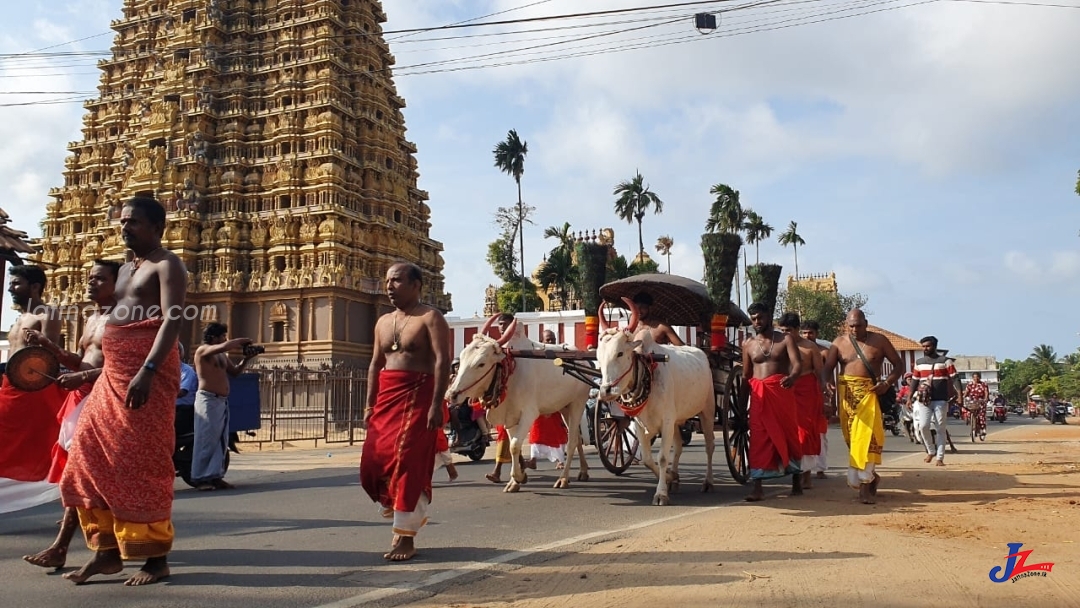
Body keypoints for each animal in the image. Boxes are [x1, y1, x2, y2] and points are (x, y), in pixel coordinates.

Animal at [444, 313, 591, 494]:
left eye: (481, 363)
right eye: (462, 357)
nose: (451, 394)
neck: (509, 373)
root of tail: (583, 360)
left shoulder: (529, 414)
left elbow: (514, 445)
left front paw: (519, 477)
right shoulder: (510, 417)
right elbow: (513, 446)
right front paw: (515, 481)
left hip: (578, 402)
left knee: (571, 442)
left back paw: (563, 478)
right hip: (565, 407)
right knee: (576, 437)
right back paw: (583, 471)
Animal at [591, 298, 717, 507]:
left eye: (619, 353)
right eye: (598, 356)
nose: (605, 391)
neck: (646, 370)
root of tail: (700, 352)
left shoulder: (666, 421)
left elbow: (663, 457)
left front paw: (661, 494)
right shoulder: (641, 424)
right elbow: (648, 459)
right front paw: (668, 478)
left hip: (707, 410)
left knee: (709, 445)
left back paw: (708, 482)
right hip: (676, 420)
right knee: (679, 446)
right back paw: (675, 477)